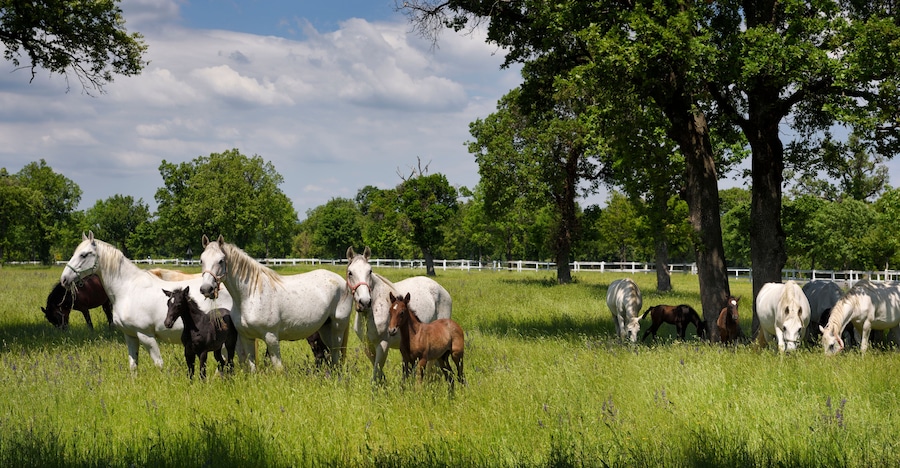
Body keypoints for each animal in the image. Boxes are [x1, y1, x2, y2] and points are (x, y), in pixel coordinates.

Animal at [59, 232, 233, 370]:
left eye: (84, 254)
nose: (64, 279)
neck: (127, 289)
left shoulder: (145, 335)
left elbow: (159, 364)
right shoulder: (130, 336)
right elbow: (133, 365)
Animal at [198, 235, 353, 372]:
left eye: (221, 260)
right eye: (201, 260)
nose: (206, 289)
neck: (250, 295)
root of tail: (342, 282)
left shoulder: (271, 337)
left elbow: (278, 368)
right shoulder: (247, 338)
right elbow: (252, 367)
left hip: (337, 328)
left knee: (335, 354)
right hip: (325, 328)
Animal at [345, 246, 453, 381]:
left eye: (370, 271)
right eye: (350, 272)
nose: (365, 302)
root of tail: (443, 291)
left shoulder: (383, 345)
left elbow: (376, 372)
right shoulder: (368, 346)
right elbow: (378, 371)